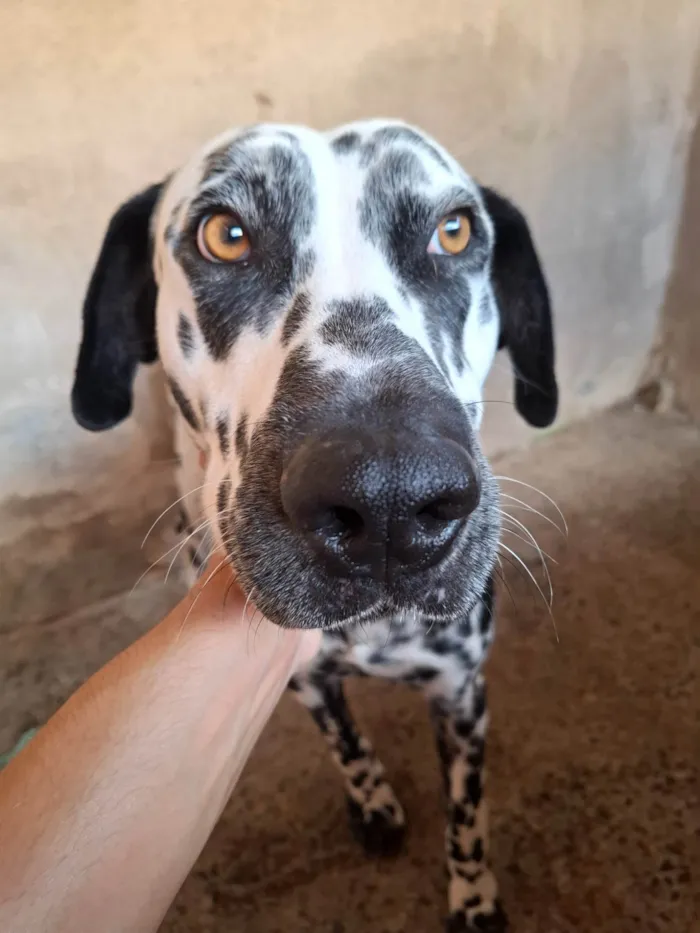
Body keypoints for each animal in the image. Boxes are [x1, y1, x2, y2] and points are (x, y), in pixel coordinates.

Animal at [71, 120, 556, 928]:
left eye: (454, 230)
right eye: (225, 234)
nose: (390, 497)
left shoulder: (461, 690)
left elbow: (466, 814)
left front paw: (474, 894)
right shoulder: (307, 681)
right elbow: (350, 745)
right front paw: (375, 804)